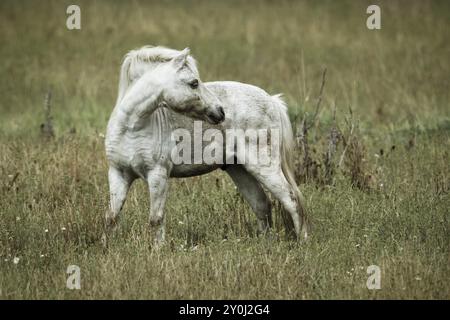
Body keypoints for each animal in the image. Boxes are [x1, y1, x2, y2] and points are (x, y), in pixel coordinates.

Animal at [105, 45, 310, 245]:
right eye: (194, 82)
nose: (220, 112)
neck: (131, 127)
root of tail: (272, 101)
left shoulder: (158, 174)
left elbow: (156, 218)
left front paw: (158, 249)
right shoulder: (118, 174)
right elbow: (112, 217)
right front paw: (109, 247)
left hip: (264, 167)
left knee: (291, 200)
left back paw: (302, 243)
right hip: (239, 169)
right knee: (262, 204)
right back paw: (266, 244)